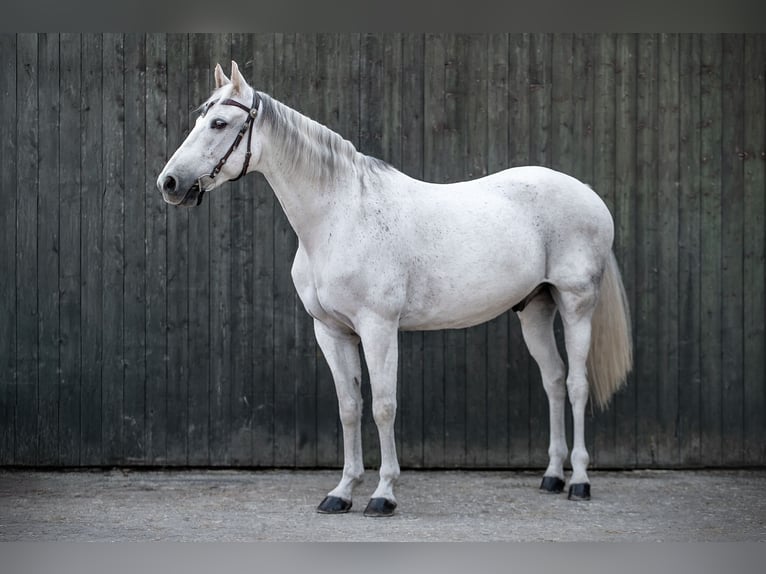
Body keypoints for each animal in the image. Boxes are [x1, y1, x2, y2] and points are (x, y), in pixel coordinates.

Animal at [157, 61, 633, 517]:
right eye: (199, 118)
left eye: (219, 123)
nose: (169, 183)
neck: (341, 216)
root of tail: (586, 192)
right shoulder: (331, 332)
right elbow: (349, 407)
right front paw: (341, 493)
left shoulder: (379, 328)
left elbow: (383, 406)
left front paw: (383, 495)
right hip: (535, 308)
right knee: (553, 380)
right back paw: (552, 477)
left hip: (575, 305)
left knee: (576, 384)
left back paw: (579, 482)